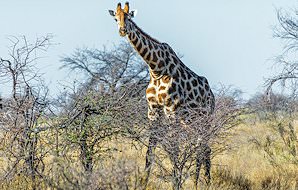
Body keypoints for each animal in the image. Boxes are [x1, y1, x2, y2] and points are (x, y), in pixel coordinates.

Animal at [109, 1, 214, 184]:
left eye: (129, 18)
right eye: (116, 18)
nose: (122, 30)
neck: (155, 68)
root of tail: (213, 96)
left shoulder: (171, 110)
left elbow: (174, 148)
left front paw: (176, 181)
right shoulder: (153, 110)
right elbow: (150, 150)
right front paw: (143, 181)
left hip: (205, 118)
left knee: (204, 147)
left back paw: (200, 182)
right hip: (191, 121)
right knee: (203, 147)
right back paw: (202, 181)